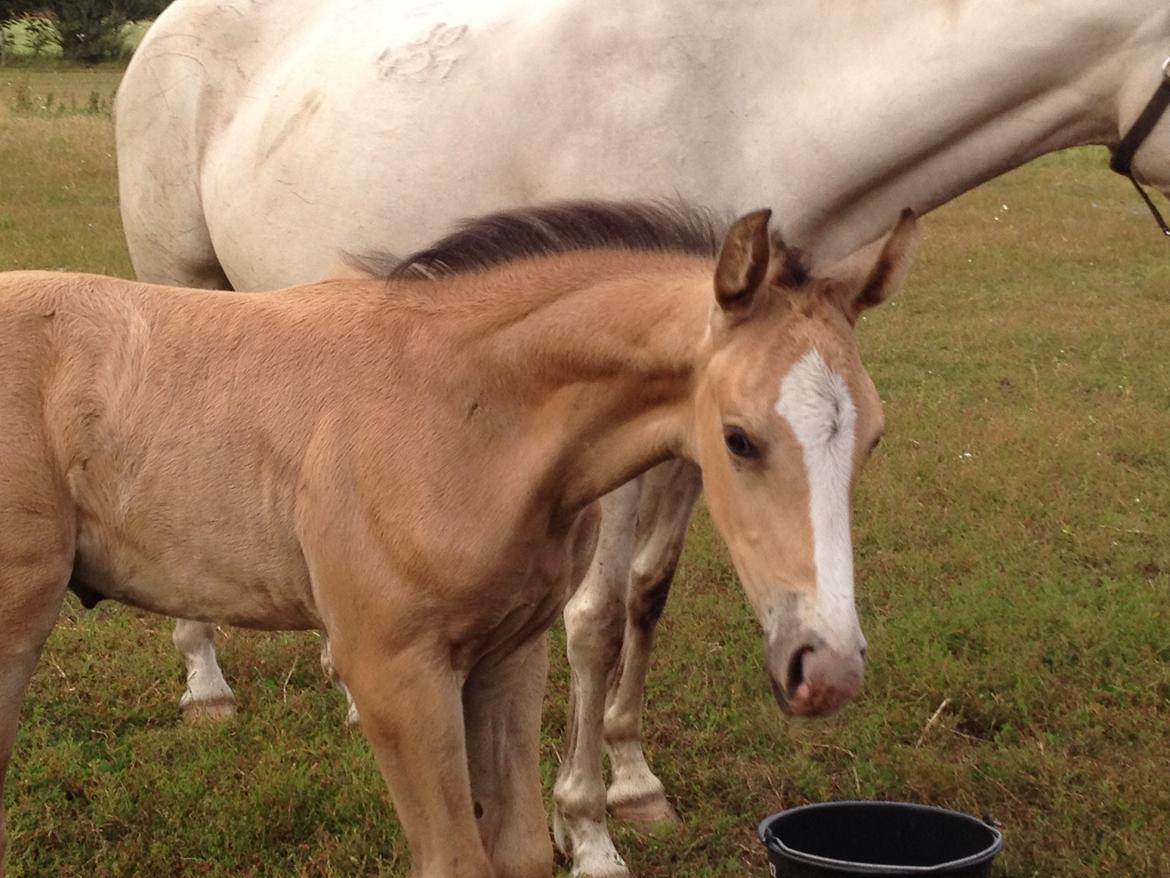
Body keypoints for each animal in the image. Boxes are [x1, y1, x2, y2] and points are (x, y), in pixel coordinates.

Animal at [0, 202, 912, 875]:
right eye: (738, 438)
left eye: (873, 438)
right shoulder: (394, 671)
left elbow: (518, 851)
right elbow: (455, 860)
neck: (461, 407)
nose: (826, 667)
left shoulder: (508, 654)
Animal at [111, 3, 1170, 875]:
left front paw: (635, 784)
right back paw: (205, 686)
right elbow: (595, 616)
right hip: (181, 290)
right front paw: (588, 830)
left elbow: (649, 598)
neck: (757, 95)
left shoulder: (685, 425)